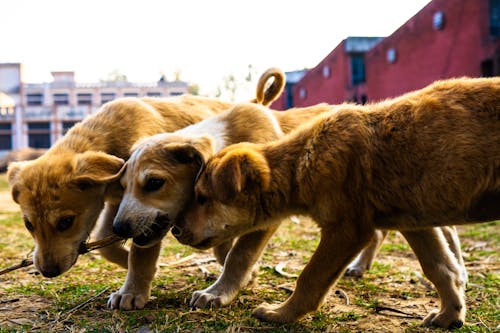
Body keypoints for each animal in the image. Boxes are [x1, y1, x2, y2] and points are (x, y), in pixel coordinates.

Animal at [173, 77, 500, 326]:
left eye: (202, 198)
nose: (175, 230)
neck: (300, 162)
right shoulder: (415, 222)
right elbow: (440, 268)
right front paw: (450, 315)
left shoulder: (347, 230)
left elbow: (310, 278)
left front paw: (280, 314)